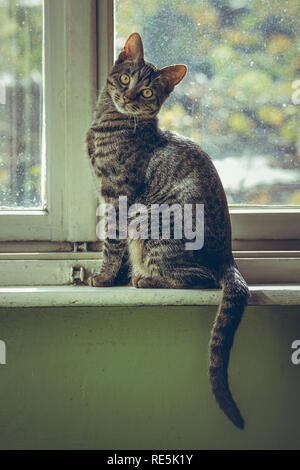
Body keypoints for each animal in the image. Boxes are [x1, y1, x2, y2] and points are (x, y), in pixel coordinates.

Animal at [85, 32, 250, 430]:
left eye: (147, 92)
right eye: (126, 78)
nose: (129, 96)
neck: (110, 122)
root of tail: (229, 257)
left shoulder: (117, 197)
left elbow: (111, 245)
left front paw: (104, 278)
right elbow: (115, 250)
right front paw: (111, 277)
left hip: (152, 225)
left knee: (199, 277)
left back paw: (144, 279)